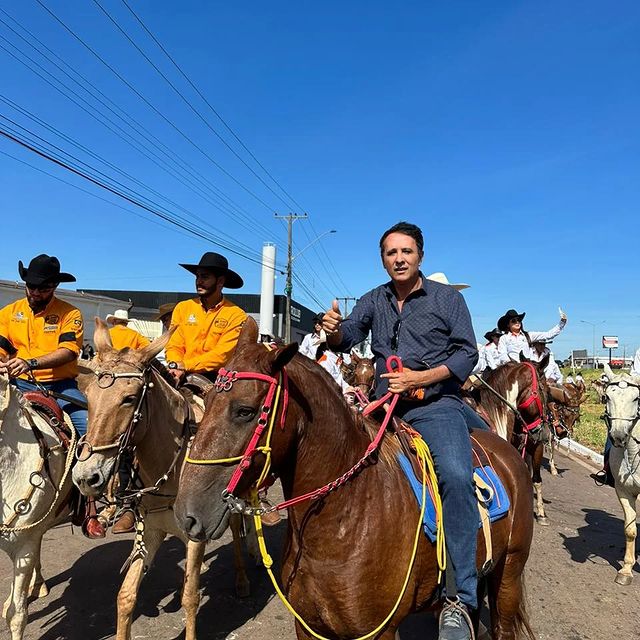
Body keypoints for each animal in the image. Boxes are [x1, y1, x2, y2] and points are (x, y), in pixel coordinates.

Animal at [72, 322, 255, 640]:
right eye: (89, 397)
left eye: (129, 398)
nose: (86, 476)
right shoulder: (150, 531)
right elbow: (126, 596)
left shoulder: (196, 535)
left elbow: (190, 598)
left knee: (234, 530)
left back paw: (243, 579)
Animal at [174, 320, 536, 640]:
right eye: (206, 401)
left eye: (245, 411)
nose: (187, 514)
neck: (346, 519)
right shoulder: (309, 628)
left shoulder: (379, 632)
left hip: (509, 573)